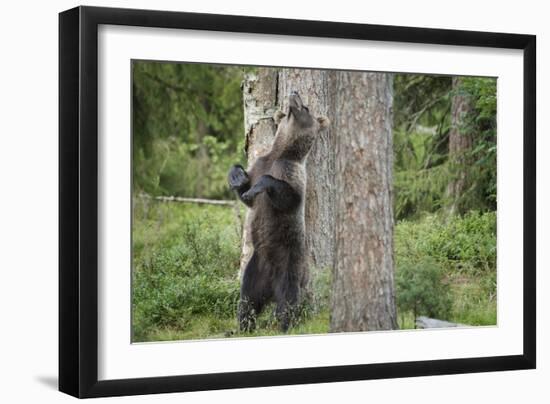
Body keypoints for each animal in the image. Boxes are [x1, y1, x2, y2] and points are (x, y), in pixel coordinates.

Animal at [227, 91, 330, 332]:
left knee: (288, 299)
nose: (294, 93)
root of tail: (270, 287)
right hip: (255, 269)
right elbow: (246, 193)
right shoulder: (259, 164)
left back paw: (284, 324)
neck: (282, 152)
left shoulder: (292, 174)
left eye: (306, 108)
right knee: (247, 300)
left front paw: (257, 188)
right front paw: (237, 177)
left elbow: (287, 197)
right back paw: (243, 326)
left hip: (290, 263)